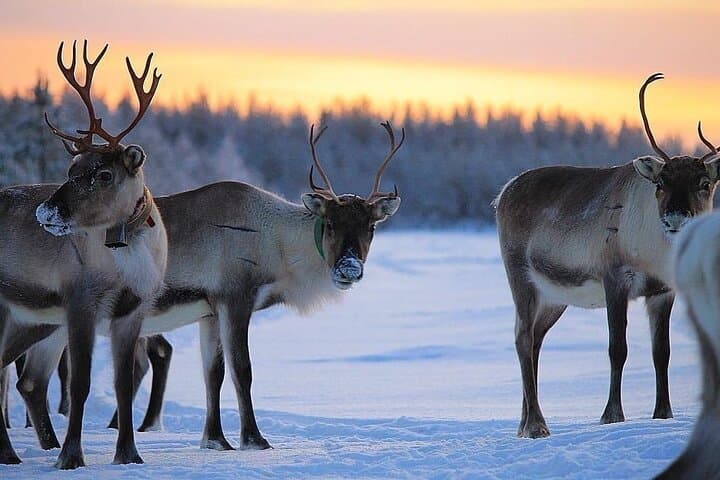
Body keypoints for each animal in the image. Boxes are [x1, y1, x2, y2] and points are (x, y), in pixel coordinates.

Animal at [0, 40, 167, 468]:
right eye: (70, 168)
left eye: (103, 174)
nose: (46, 211)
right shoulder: (81, 301)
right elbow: (81, 383)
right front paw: (71, 456)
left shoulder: (132, 310)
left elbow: (124, 383)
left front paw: (129, 454)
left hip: (34, 321)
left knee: (20, 377)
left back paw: (18, 451)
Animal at [7, 122, 405, 452]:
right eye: (331, 224)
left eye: (370, 226)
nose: (350, 268)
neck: (276, 247)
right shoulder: (235, 296)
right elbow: (242, 370)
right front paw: (253, 439)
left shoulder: (208, 310)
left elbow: (213, 374)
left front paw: (215, 440)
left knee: (31, 382)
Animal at [494, 72, 720, 438]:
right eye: (660, 183)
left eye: (704, 183)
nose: (675, 219)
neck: (655, 254)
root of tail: (502, 193)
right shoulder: (616, 278)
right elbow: (618, 349)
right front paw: (611, 415)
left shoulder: (663, 290)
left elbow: (662, 352)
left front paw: (664, 414)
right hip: (520, 277)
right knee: (523, 338)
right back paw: (537, 425)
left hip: (555, 297)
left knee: (534, 339)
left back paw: (523, 424)